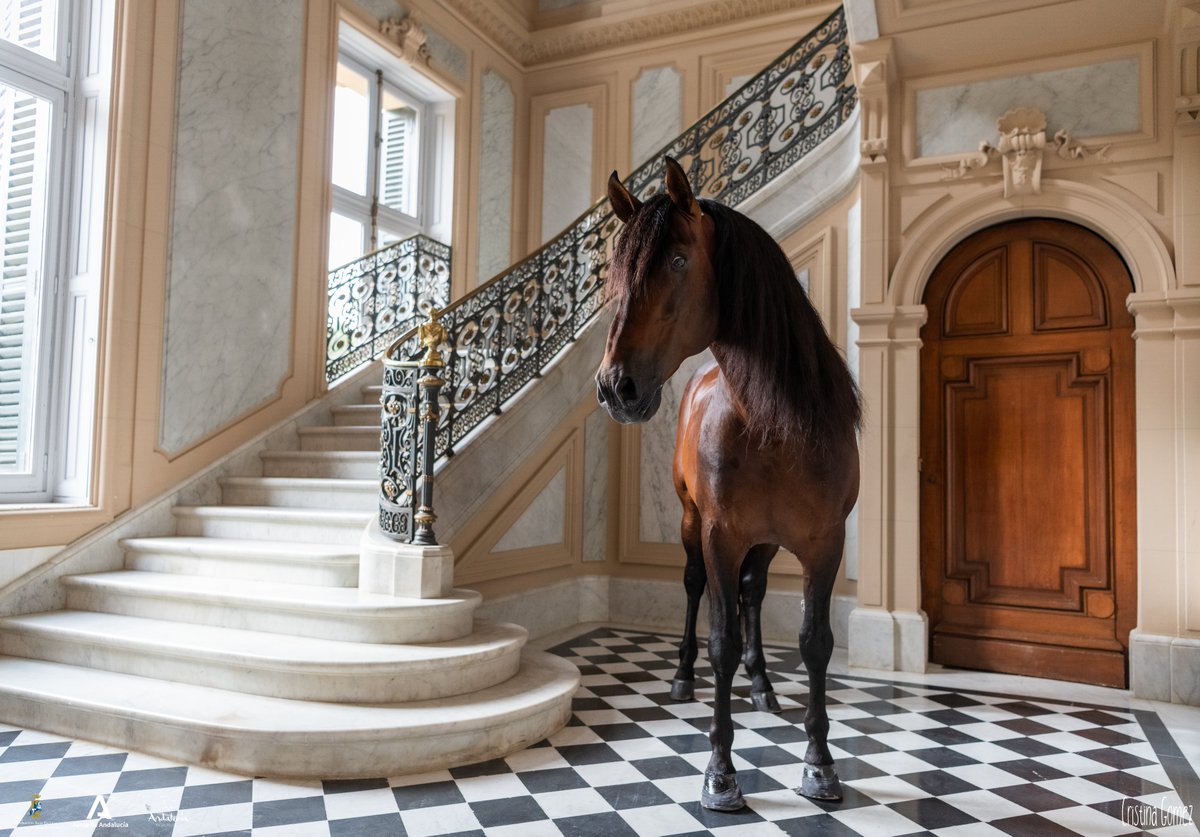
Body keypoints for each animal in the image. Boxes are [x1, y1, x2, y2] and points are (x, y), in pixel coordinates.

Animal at [595, 157, 861, 811]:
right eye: (617, 271)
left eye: (678, 259)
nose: (616, 387)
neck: (776, 424)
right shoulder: (720, 536)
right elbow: (722, 641)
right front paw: (720, 773)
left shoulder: (825, 543)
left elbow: (815, 642)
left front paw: (820, 765)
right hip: (695, 526)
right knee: (697, 590)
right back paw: (682, 677)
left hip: (764, 543)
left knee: (752, 594)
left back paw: (762, 683)